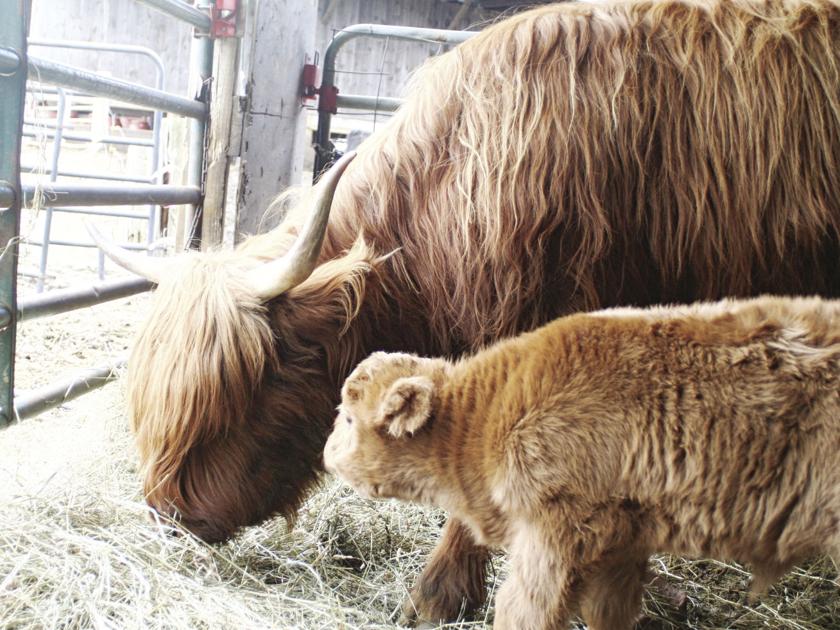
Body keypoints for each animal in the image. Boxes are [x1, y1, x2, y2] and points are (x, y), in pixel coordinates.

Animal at [323, 296, 840, 630]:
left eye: (348, 416)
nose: (326, 454)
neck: (486, 417)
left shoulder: (552, 536)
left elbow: (521, 613)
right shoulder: (625, 543)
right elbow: (608, 613)